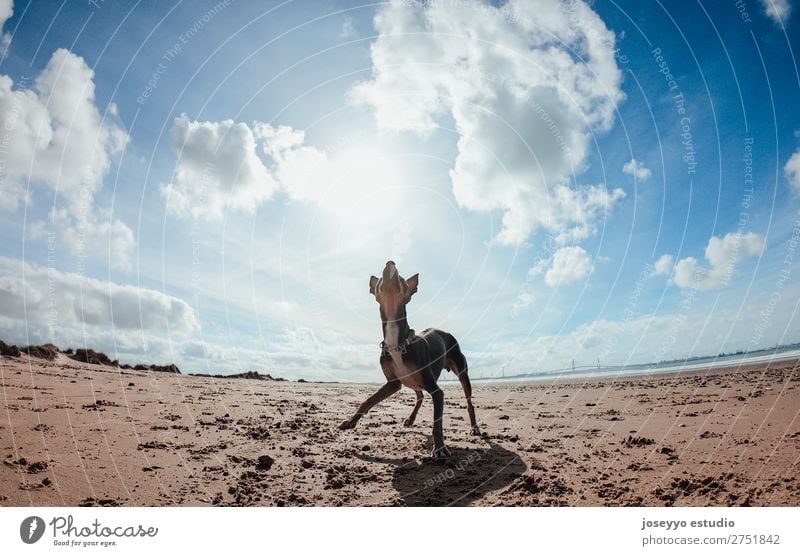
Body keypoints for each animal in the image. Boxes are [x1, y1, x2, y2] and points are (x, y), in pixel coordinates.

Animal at [340, 260, 482, 456]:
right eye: (380, 281)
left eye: (400, 278)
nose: (390, 262)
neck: (397, 343)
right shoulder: (392, 383)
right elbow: (367, 401)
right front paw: (350, 422)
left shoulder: (436, 392)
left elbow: (437, 423)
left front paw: (440, 448)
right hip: (412, 381)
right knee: (419, 396)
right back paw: (411, 418)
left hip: (461, 372)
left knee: (469, 402)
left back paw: (474, 427)